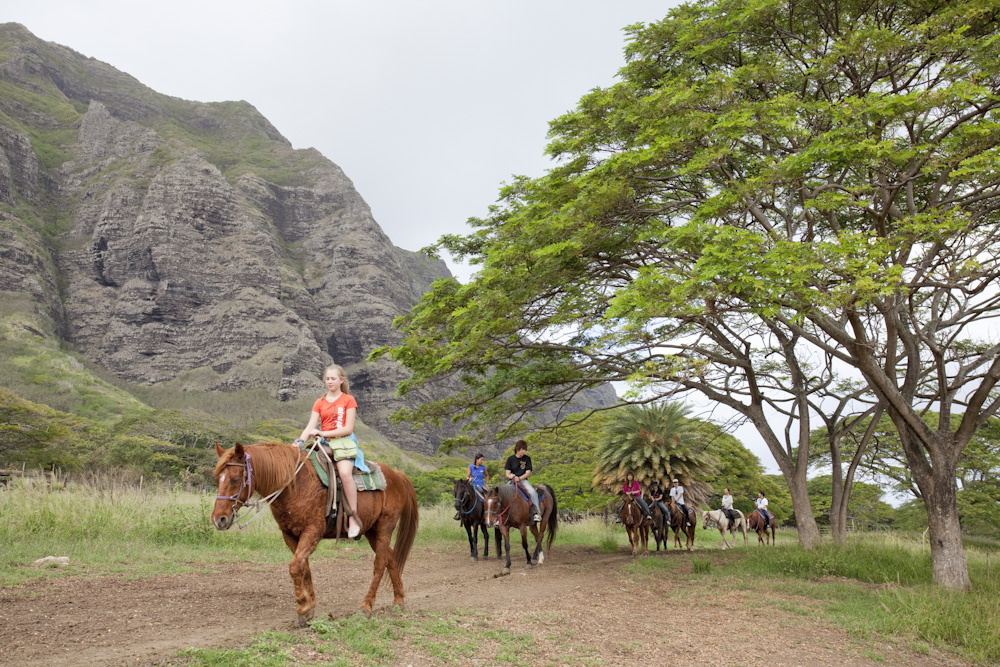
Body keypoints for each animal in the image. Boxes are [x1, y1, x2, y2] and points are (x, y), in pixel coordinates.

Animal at [211, 444, 418, 628]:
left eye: (235, 479)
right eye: (217, 479)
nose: (218, 519)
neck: (295, 485)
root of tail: (397, 474)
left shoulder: (313, 531)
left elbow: (295, 567)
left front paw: (303, 607)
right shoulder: (290, 536)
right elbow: (304, 568)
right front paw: (309, 608)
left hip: (385, 527)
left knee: (380, 564)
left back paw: (366, 607)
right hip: (371, 531)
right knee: (391, 558)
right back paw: (399, 601)